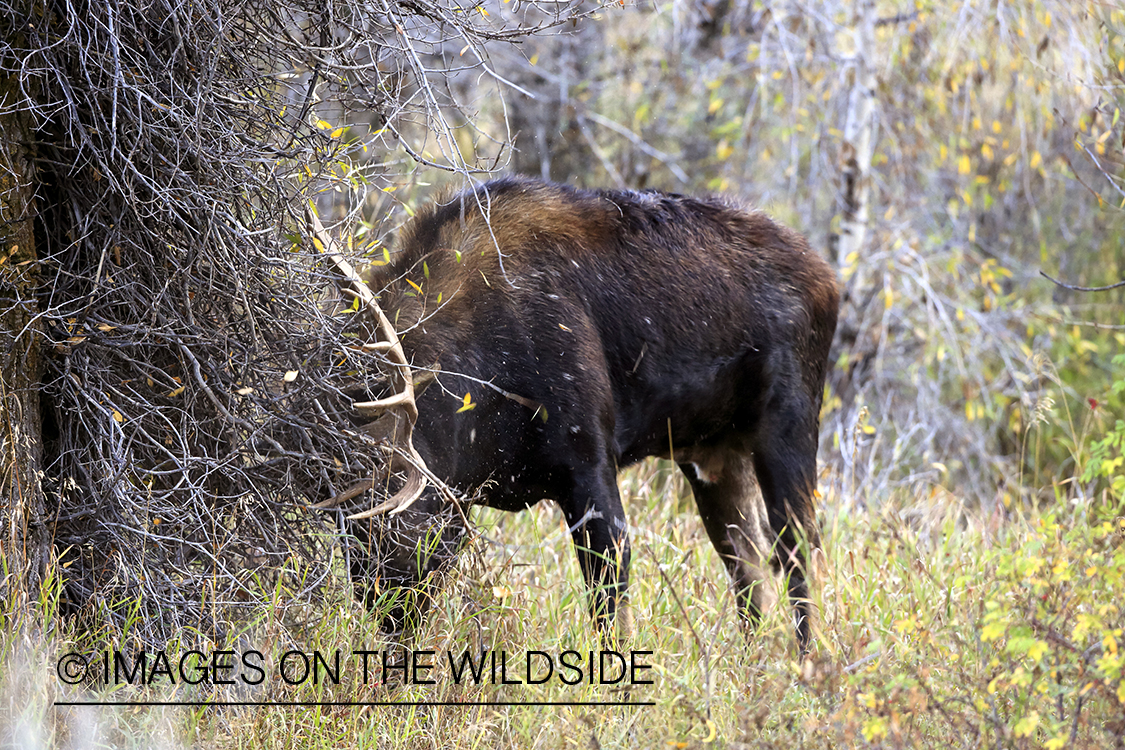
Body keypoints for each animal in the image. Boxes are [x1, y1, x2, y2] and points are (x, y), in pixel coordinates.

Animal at [337, 176, 841, 652]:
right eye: (347, 535)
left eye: (401, 520)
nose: (387, 611)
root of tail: (829, 278)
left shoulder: (589, 461)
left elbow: (610, 597)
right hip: (713, 454)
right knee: (748, 564)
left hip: (788, 429)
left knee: (801, 554)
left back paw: (807, 663)